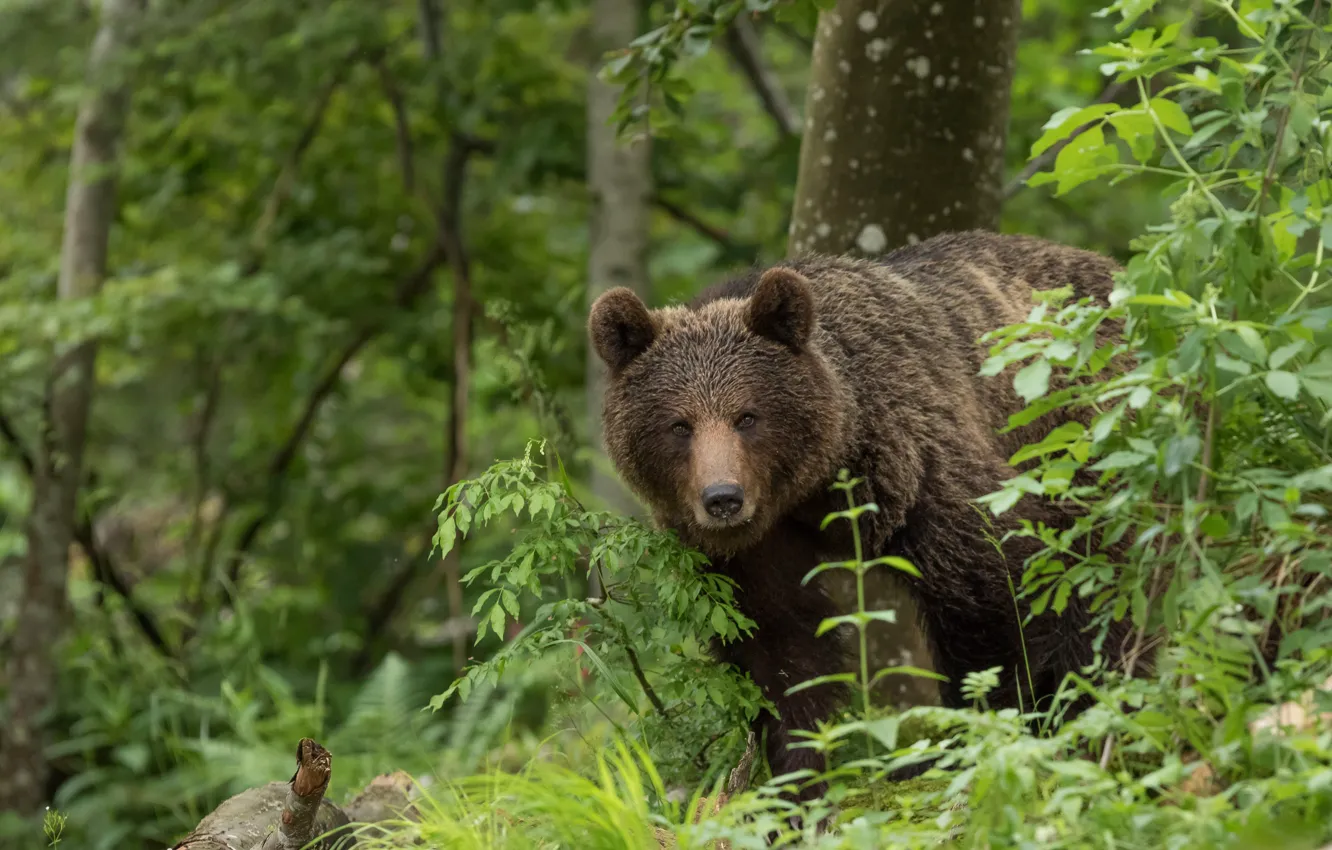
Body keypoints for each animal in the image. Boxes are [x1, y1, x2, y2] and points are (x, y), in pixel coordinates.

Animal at [588, 229, 1129, 804]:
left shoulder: (919, 466)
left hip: (1085, 446)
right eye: (679, 425)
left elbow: (991, 588)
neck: (813, 482)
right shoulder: (752, 553)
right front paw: (796, 778)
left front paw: (984, 729)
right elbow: (782, 647)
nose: (723, 498)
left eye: (747, 416)